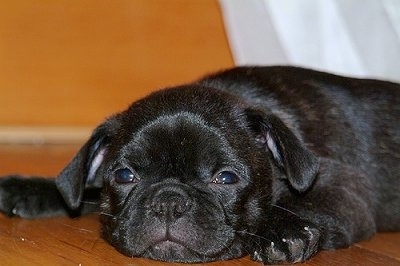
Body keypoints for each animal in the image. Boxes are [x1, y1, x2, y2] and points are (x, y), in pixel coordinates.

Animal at [0, 66, 400, 264]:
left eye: (226, 177)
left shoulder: (343, 187)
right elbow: (79, 189)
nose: (168, 202)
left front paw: (283, 232)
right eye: (125, 175)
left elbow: (299, 202)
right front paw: (28, 188)